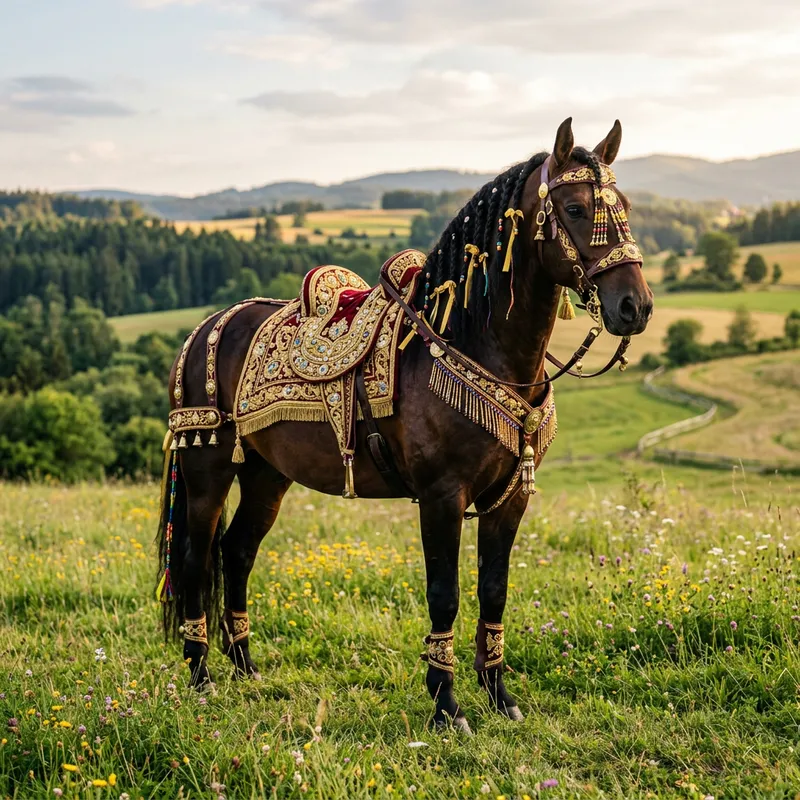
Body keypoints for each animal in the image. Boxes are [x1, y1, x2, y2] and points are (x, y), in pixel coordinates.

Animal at [156, 118, 653, 732]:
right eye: (578, 208)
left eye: (624, 206)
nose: (635, 306)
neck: (474, 341)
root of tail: (207, 327)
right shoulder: (442, 495)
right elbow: (446, 593)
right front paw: (447, 707)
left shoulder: (509, 497)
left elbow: (494, 590)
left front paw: (500, 696)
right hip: (207, 471)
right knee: (196, 560)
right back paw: (201, 677)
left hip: (268, 476)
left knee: (237, 552)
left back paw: (247, 669)